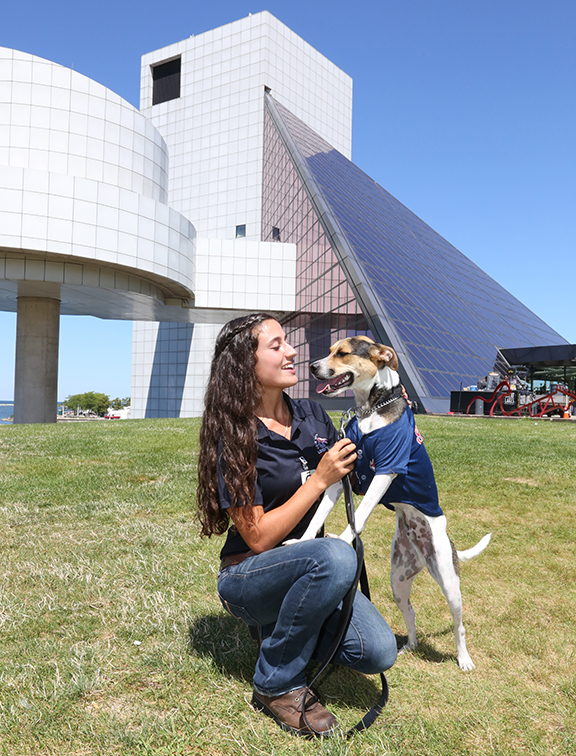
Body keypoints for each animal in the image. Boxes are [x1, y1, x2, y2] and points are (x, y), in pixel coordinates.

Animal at [296, 336, 490, 672]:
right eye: (330, 350)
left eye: (342, 353)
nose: (312, 366)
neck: (371, 410)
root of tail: (424, 551)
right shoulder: (339, 473)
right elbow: (317, 515)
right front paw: (302, 541)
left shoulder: (386, 469)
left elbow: (359, 515)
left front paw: (344, 540)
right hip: (398, 580)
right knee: (410, 612)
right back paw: (410, 645)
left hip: (449, 582)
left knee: (459, 624)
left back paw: (464, 659)